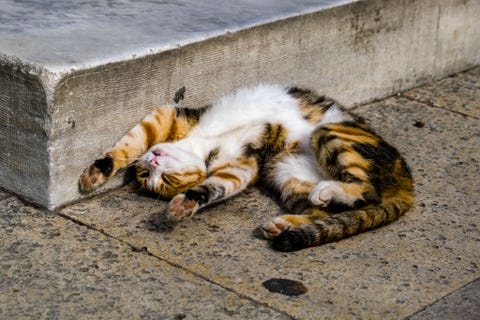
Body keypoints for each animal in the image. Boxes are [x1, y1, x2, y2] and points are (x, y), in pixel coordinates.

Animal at [78, 85, 412, 252]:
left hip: (329, 133)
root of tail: (404, 172)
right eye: (151, 178)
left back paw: (323, 193)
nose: (152, 163)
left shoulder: (171, 117)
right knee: (328, 208)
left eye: (163, 178)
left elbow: (133, 140)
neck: (201, 146)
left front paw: (95, 172)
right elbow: (216, 186)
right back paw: (285, 224)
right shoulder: (241, 167)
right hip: (286, 171)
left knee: (366, 190)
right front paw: (185, 204)